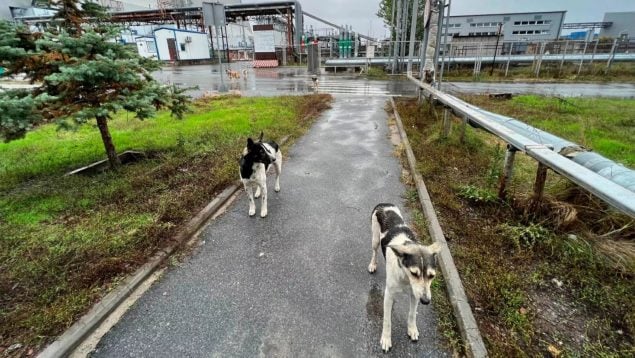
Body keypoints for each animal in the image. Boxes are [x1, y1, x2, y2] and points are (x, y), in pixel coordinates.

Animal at [368, 203, 442, 352]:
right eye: (414, 273)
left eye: (432, 276)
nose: (426, 301)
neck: (405, 277)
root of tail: (383, 204)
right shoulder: (389, 295)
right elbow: (387, 321)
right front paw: (386, 339)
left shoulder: (415, 295)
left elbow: (412, 314)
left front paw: (412, 329)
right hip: (375, 239)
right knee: (374, 251)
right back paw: (373, 264)